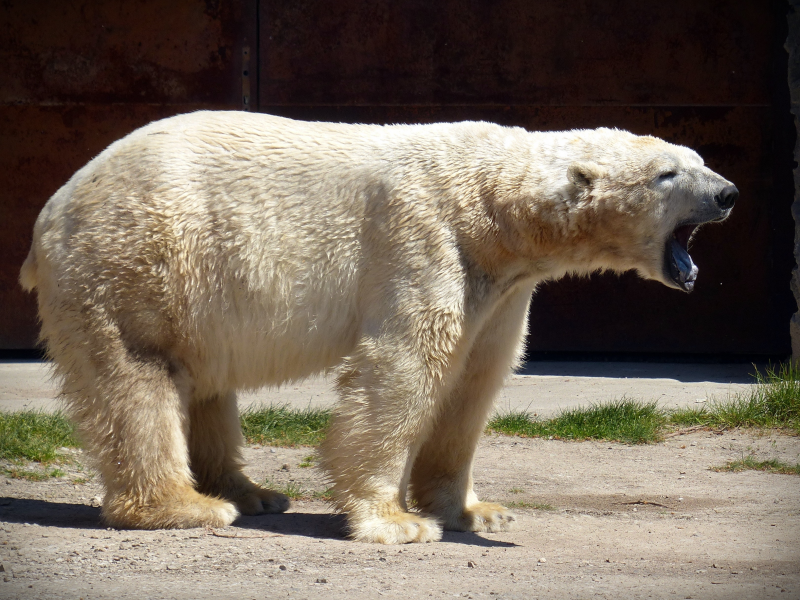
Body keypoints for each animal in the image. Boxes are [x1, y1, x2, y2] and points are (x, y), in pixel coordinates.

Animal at [18, 110, 736, 540]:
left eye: (694, 156)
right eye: (667, 173)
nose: (728, 192)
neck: (492, 206)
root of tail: (53, 207)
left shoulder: (502, 288)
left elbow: (474, 381)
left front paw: (477, 509)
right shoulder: (422, 239)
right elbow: (405, 368)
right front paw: (395, 520)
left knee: (205, 383)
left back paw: (253, 492)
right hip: (138, 261)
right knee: (139, 376)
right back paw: (187, 506)